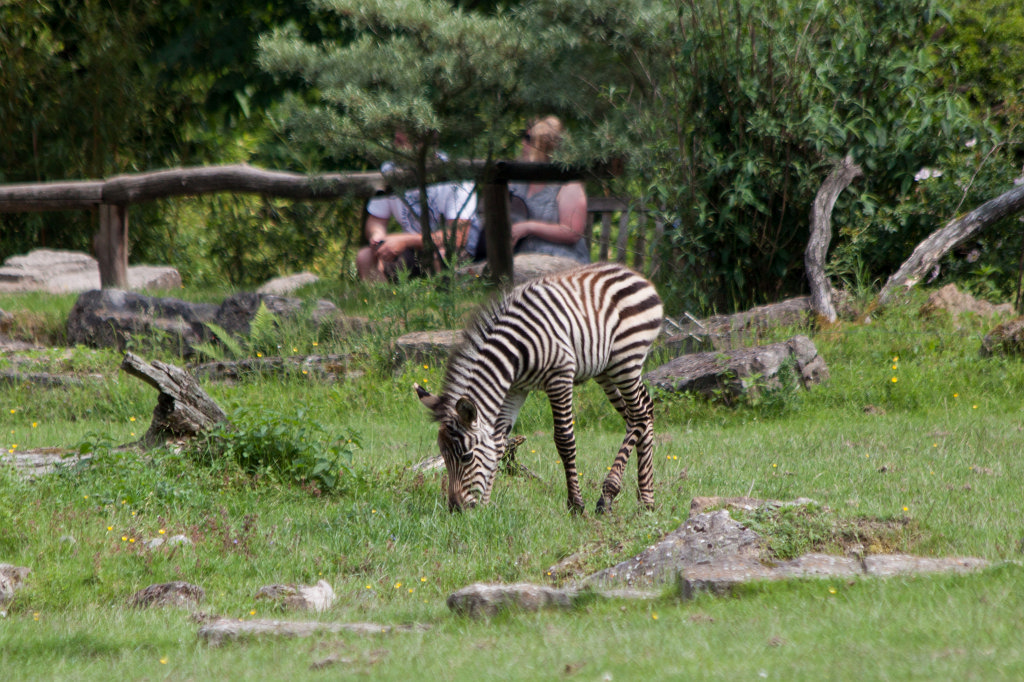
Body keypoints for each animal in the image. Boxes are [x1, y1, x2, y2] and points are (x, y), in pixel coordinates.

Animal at [416, 262, 664, 513]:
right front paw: (486, 505)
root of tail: (634, 274)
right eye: (443, 456)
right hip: (606, 370)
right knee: (644, 409)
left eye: (466, 457)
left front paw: (576, 505)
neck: (514, 352)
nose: (456, 509)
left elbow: (564, 440)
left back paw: (610, 496)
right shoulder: (516, 389)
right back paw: (646, 500)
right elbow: (498, 443)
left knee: (639, 414)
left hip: (626, 359)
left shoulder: (559, 377)